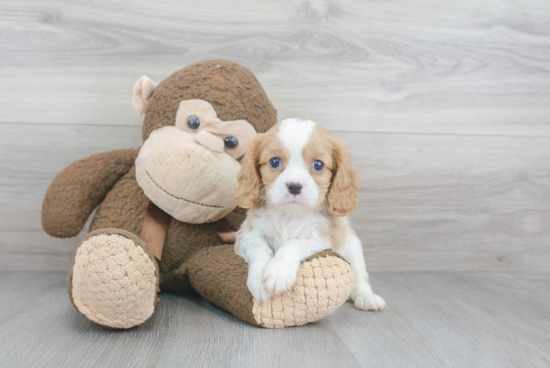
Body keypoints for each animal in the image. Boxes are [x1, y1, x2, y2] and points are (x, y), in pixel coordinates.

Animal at [235, 118, 386, 310]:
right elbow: (259, 247)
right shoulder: (246, 235)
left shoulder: (323, 240)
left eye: (318, 164)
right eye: (275, 161)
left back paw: (366, 297)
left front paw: (278, 272)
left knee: (359, 279)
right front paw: (259, 277)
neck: (290, 215)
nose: (294, 186)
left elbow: (294, 243)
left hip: (353, 247)